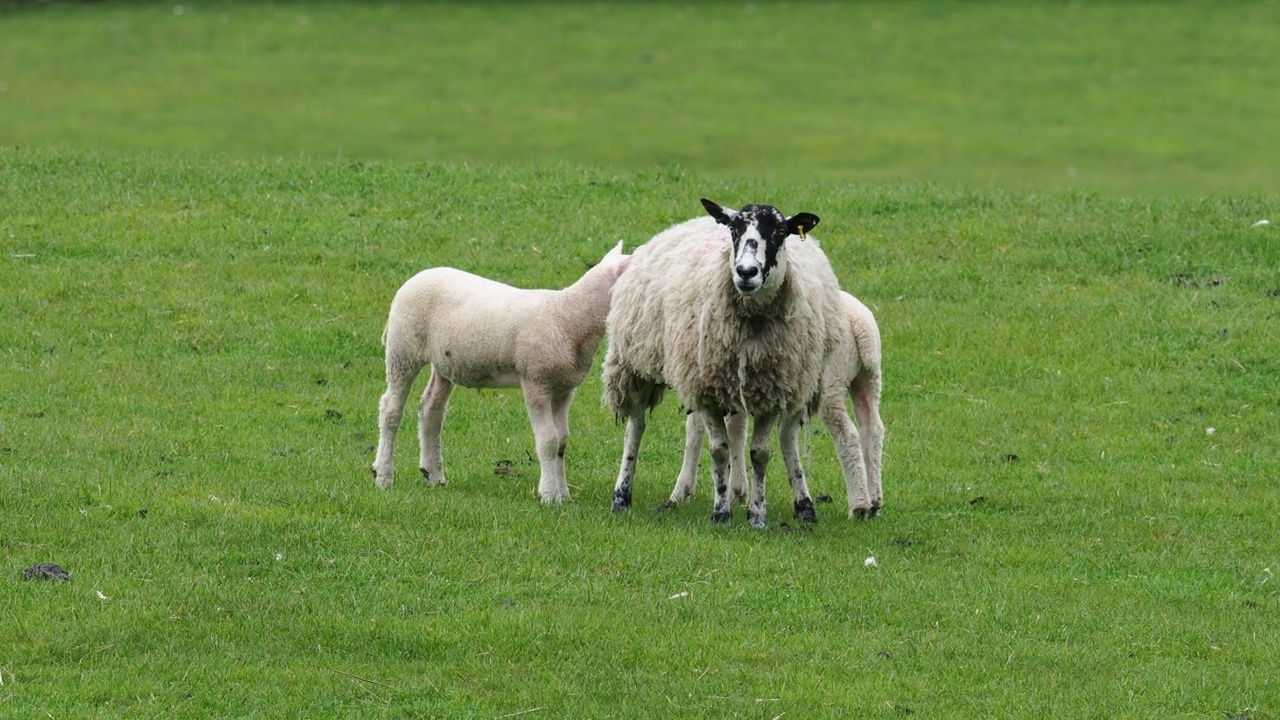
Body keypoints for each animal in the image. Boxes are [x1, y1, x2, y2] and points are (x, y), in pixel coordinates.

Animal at [371, 240, 629, 499]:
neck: (568, 316)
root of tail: (415, 278)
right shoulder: (536, 382)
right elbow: (548, 441)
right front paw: (549, 494)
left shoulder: (564, 389)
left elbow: (562, 441)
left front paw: (563, 493)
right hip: (403, 350)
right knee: (390, 409)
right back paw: (383, 475)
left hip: (444, 362)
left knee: (431, 408)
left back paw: (433, 474)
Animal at [604, 197, 844, 527]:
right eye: (735, 229)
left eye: (781, 231)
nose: (746, 272)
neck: (752, 327)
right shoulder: (706, 391)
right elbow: (719, 450)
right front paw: (721, 513)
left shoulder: (772, 389)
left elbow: (759, 452)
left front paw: (757, 515)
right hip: (637, 364)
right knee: (636, 427)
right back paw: (623, 495)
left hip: (791, 381)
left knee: (774, 436)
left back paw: (793, 504)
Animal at [665, 289, 885, 515]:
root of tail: (861, 328)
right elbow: (736, 429)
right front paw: (737, 491)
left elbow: (695, 429)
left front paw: (681, 490)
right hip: (868, 378)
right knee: (872, 429)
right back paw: (875, 501)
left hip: (832, 382)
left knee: (847, 436)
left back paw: (859, 506)